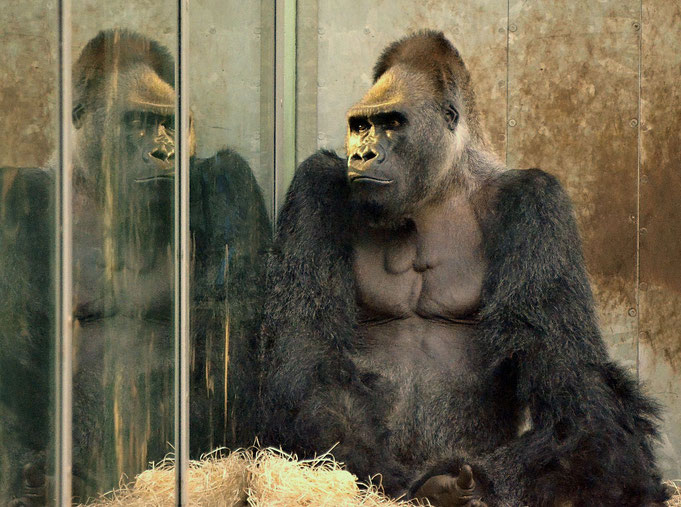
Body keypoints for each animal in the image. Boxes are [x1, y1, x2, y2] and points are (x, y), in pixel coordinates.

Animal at [0, 30, 270, 504]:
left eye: (171, 123)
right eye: (138, 122)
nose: (165, 152)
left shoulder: (229, 179)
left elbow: (232, 324)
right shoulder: (21, 197)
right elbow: (19, 344)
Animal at [262, 31, 668, 507]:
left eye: (393, 123)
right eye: (360, 126)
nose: (362, 154)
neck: (441, 187)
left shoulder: (537, 201)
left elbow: (576, 394)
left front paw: (469, 485)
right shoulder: (316, 185)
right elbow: (307, 359)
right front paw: (413, 484)